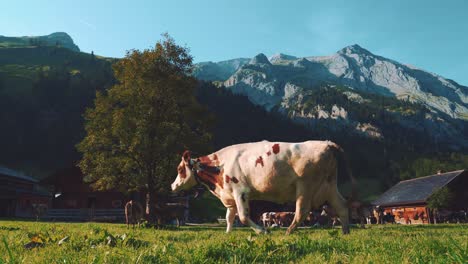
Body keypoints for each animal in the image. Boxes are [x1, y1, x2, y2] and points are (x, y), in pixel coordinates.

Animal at [172, 141, 354, 234]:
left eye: (180, 169)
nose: (172, 186)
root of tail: (327, 144)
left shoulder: (240, 192)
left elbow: (243, 217)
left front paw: (263, 231)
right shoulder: (230, 195)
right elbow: (230, 218)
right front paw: (227, 235)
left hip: (305, 186)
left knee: (302, 211)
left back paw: (288, 232)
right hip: (328, 185)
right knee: (342, 206)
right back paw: (345, 232)